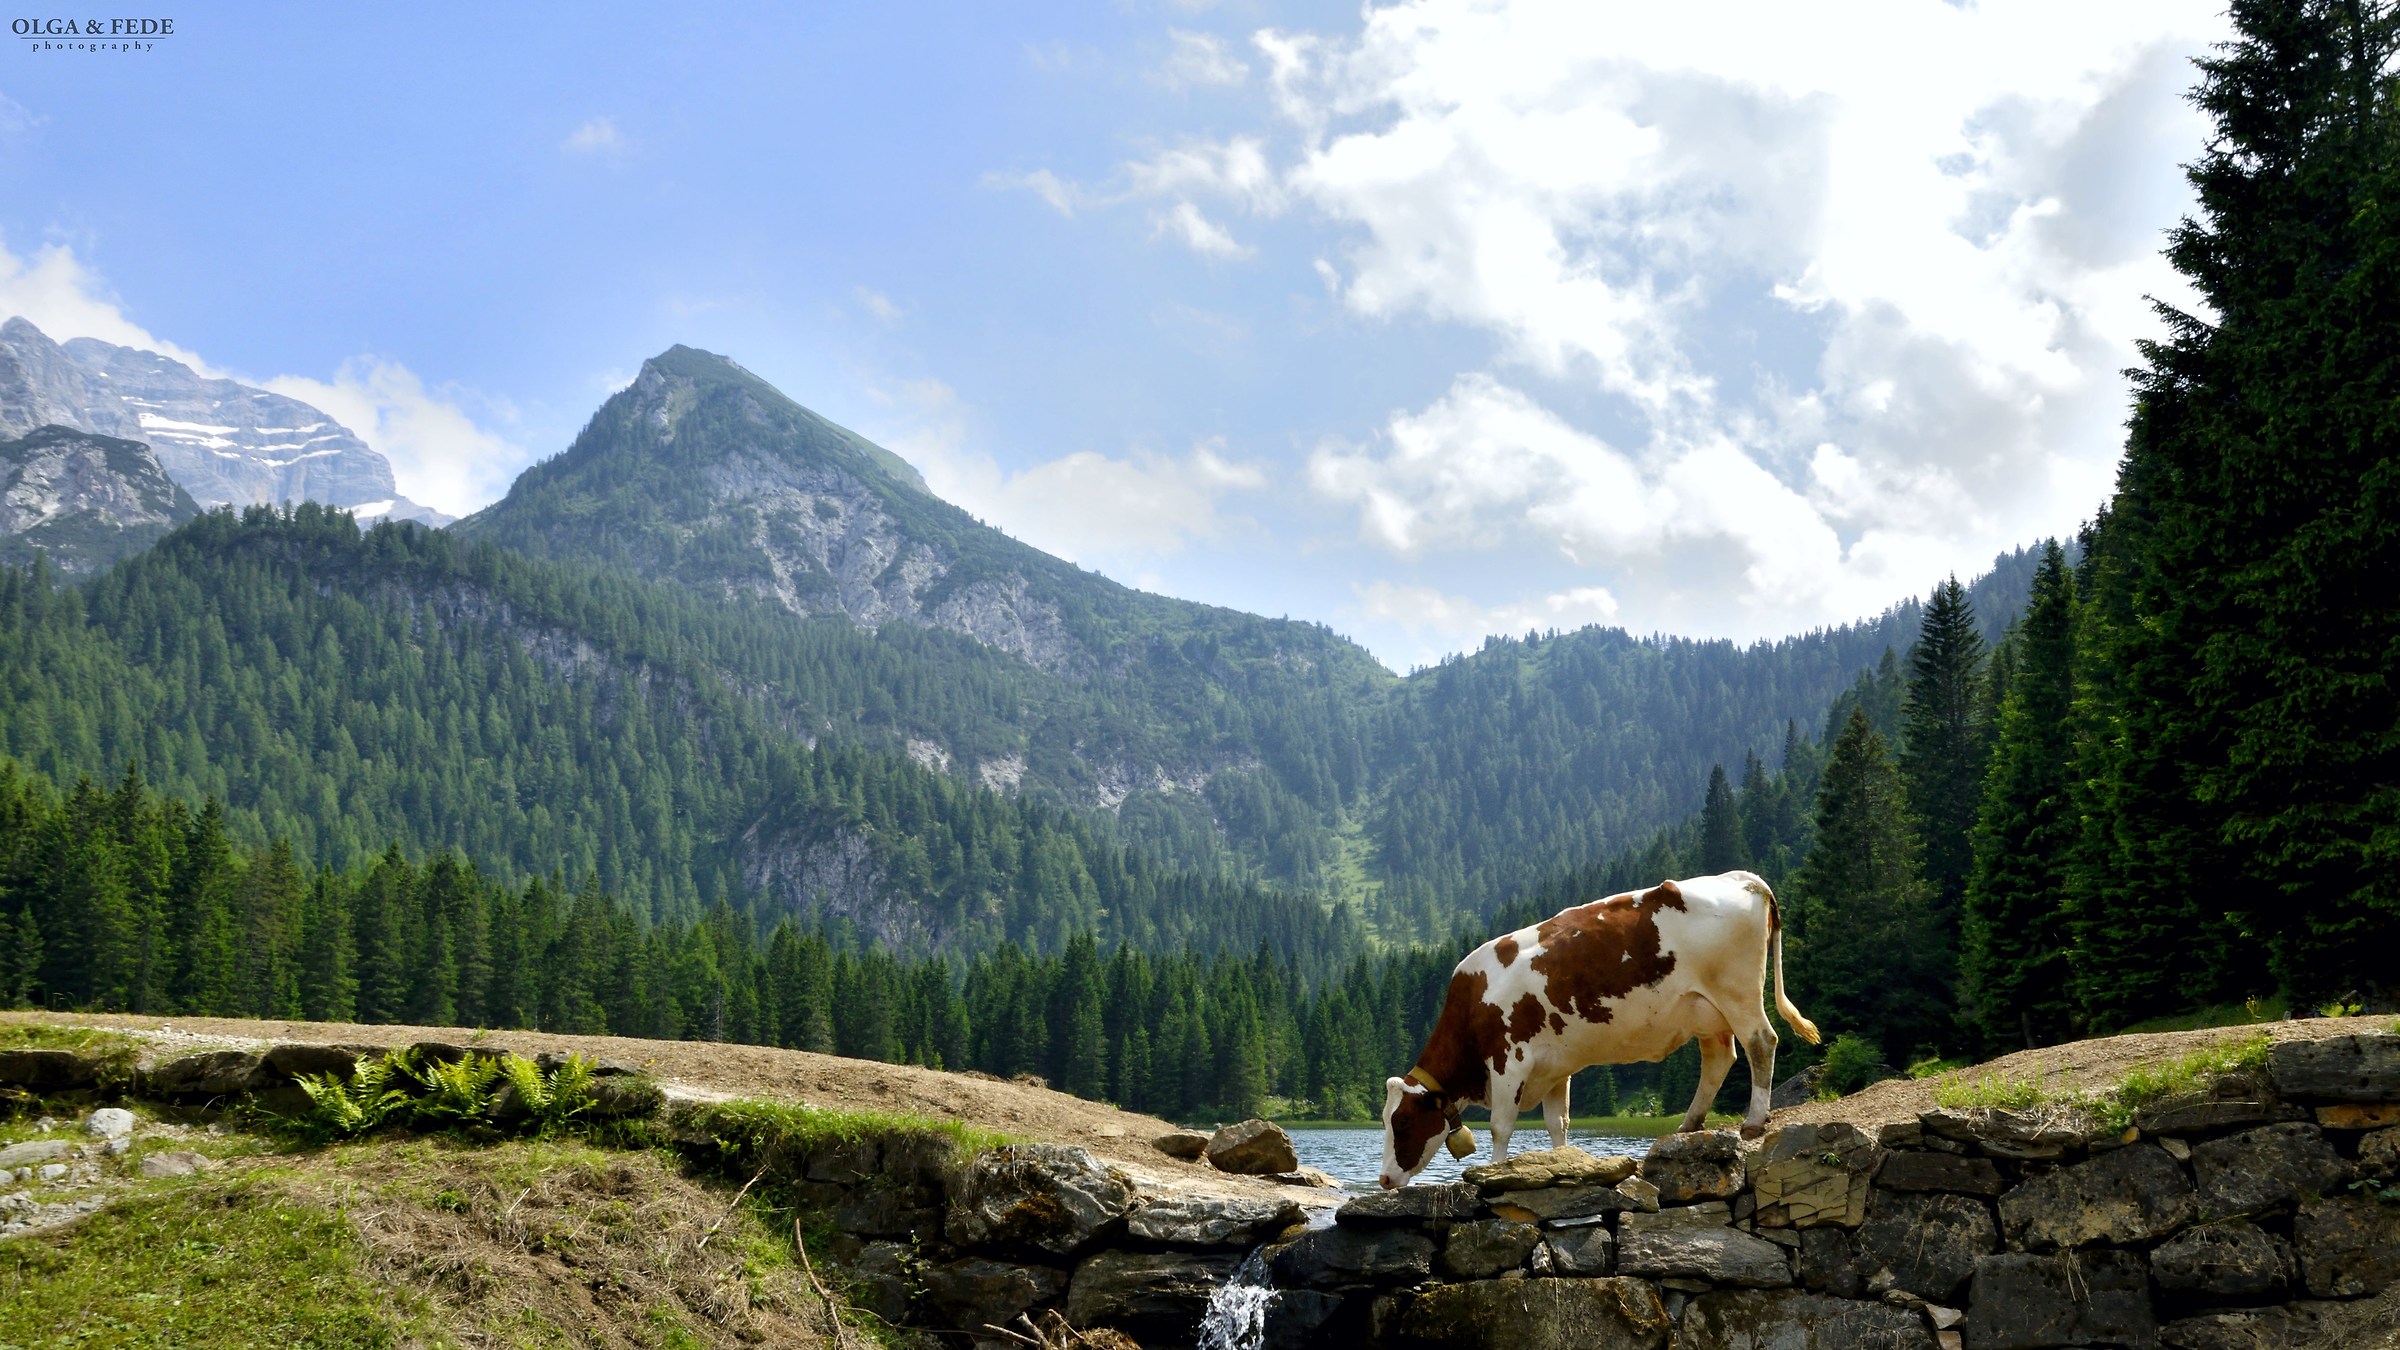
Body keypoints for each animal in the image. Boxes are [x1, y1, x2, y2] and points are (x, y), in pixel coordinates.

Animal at [1377, 870, 1818, 1189]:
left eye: (1402, 1123)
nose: (1382, 1179)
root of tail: (1742, 877)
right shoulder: (1555, 1069)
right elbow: (1557, 1123)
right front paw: (1560, 1163)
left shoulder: (1508, 1061)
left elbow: (1501, 1127)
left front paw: (1492, 1171)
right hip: (1706, 1012)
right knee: (1719, 1058)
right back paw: (1689, 1124)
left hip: (1737, 992)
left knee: (1761, 1042)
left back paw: (1753, 1121)